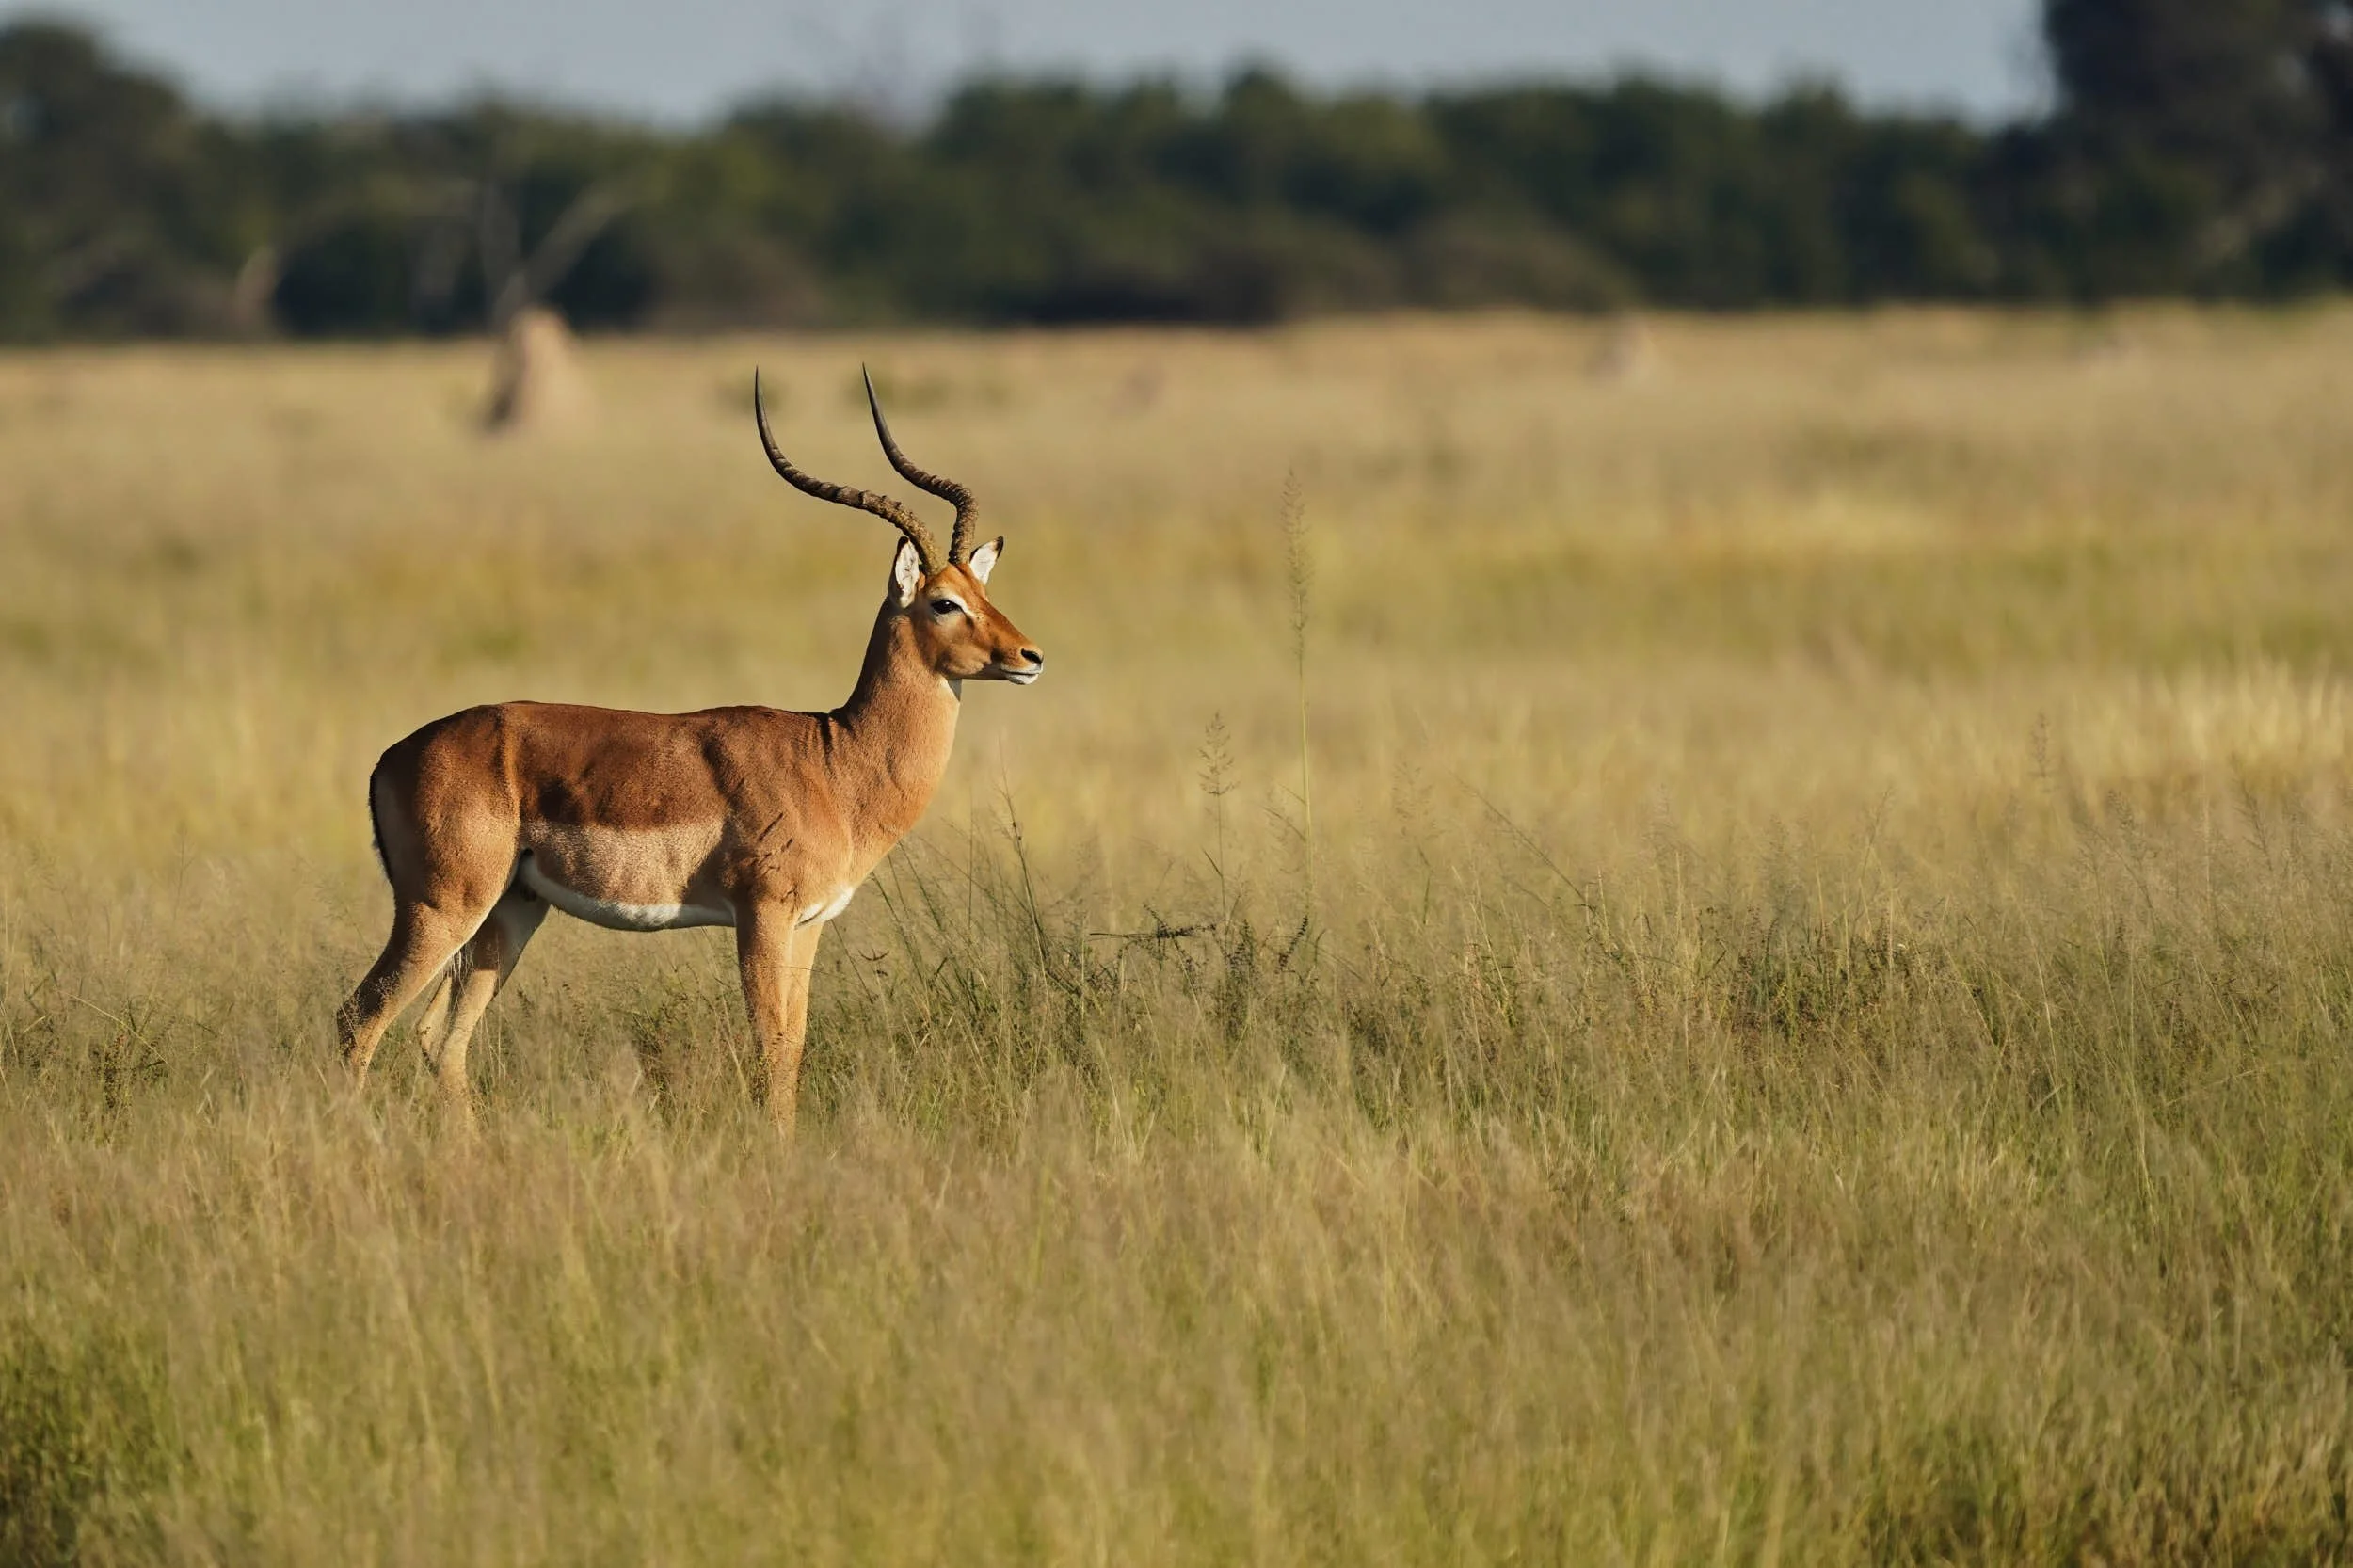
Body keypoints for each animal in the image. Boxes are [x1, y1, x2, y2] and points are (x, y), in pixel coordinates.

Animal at [335, 369, 1043, 1131]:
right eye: (943, 602)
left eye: (983, 590)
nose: (1029, 657)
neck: (834, 760)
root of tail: (391, 757)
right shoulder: (761, 916)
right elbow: (772, 1051)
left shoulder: (811, 926)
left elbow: (795, 1047)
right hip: (441, 908)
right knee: (359, 1018)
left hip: (510, 910)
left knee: (439, 1038)